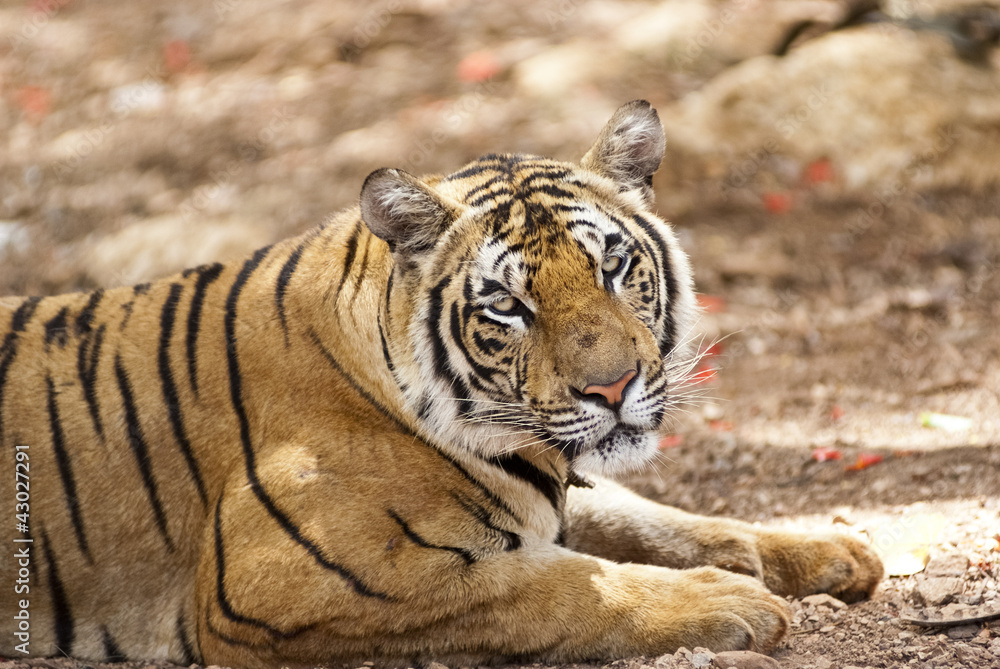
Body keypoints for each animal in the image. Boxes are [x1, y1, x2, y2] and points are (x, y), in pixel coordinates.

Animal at [0, 100, 882, 669]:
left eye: (613, 266)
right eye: (508, 304)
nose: (614, 387)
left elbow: (653, 518)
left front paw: (826, 550)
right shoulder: (286, 581)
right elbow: (558, 587)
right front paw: (732, 604)